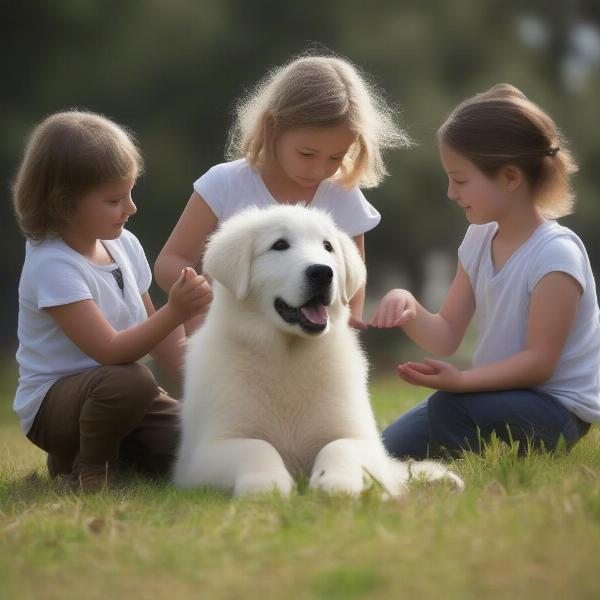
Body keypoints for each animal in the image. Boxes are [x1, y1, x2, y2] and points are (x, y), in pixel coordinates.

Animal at [173, 206, 464, 496]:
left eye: (328, 247)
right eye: (279, 245)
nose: (323, 273)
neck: (288, 354)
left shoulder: (359, 437)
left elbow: (339, 445)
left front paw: (335, 483)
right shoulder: (207, 451)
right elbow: (257, 446)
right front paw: (267, 484)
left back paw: (441, 480)